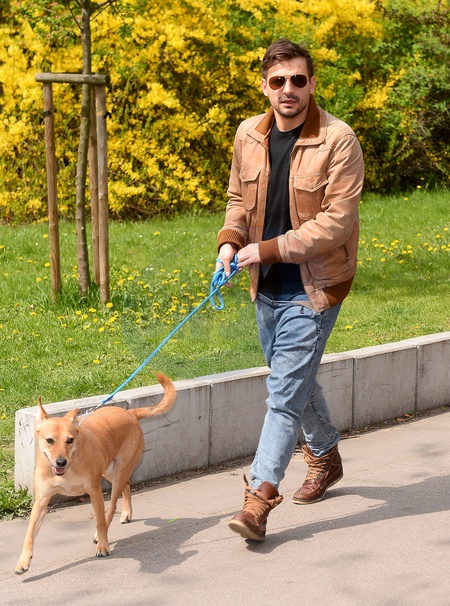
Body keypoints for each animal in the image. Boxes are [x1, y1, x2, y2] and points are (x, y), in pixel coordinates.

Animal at [15, 372, 176, 574]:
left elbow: (100, 521)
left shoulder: (94, 492)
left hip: (118, 472)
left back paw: (104, 531)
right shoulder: (42, 501)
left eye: (70, 440)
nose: (60, 462)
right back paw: (127, 513)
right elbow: (29, 533)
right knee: (127, 484)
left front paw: (103, 546)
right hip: (110, 471)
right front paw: (23, 561)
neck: (70, 466)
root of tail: (130, 413)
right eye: (49, 440)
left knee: (112, 506)